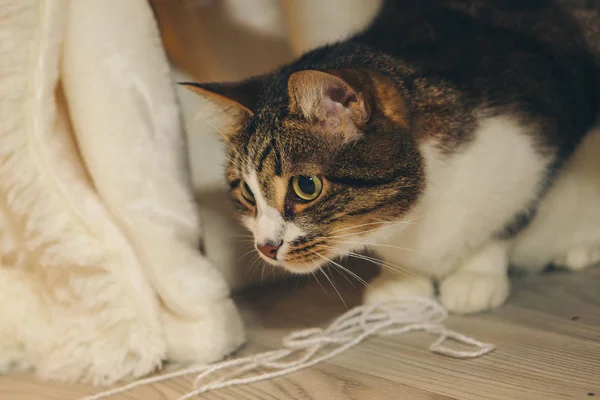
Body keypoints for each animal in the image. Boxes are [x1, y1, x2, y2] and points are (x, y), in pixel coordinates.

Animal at [183, 0, 600, 314]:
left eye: (307, 187)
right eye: (247, 193)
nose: (266, 247)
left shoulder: (539, 144)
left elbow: (506, 218)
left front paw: (476, 274)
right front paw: (401, 280)